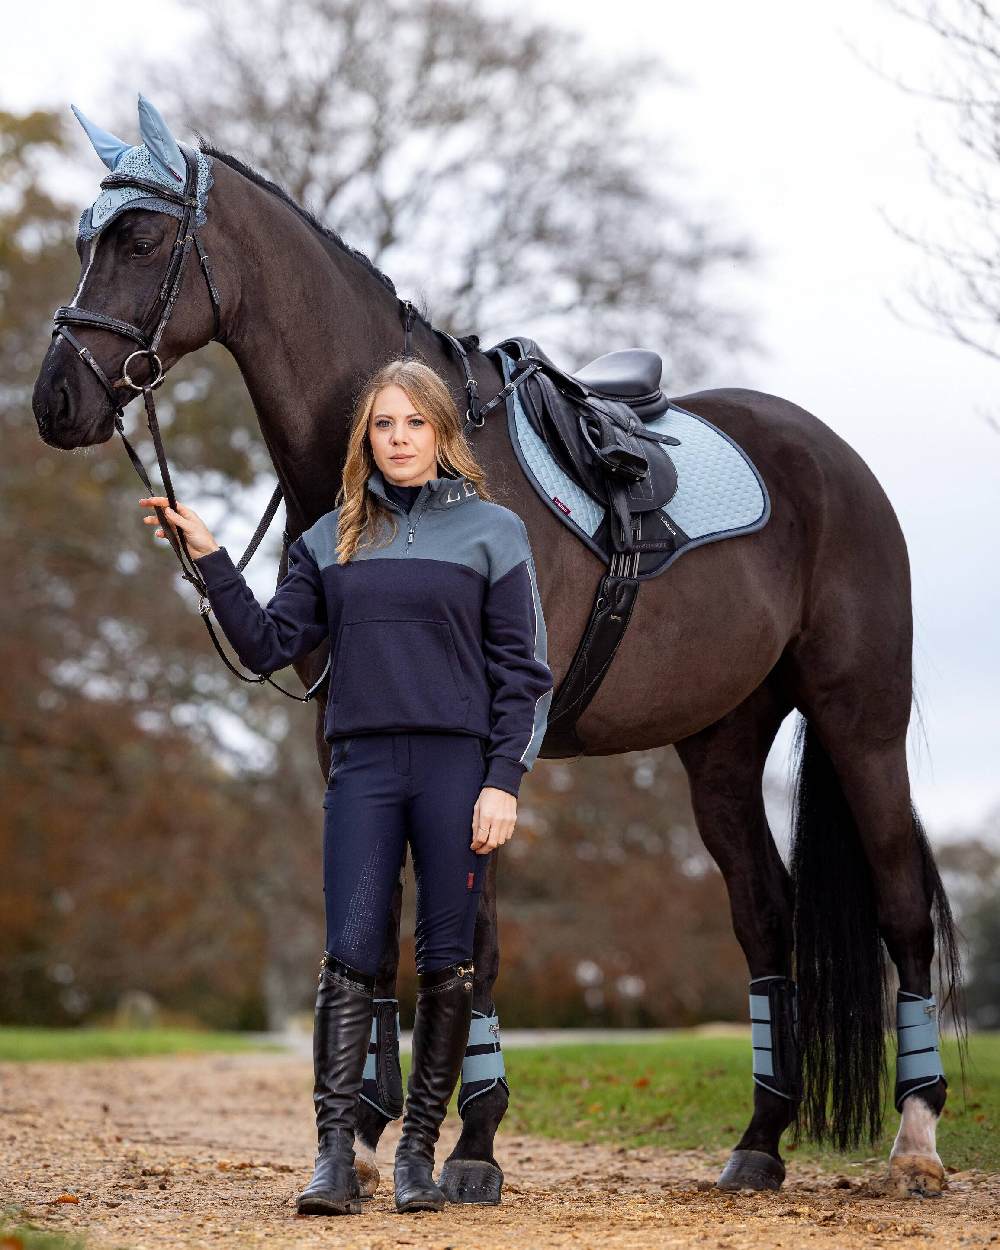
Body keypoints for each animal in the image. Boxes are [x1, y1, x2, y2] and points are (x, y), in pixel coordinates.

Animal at [33, 115, 960, 1200]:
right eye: (84, 238)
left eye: (139, 240)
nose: (55, 400)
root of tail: (834, 458)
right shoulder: (350, 738)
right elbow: (377, 923)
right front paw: (365, 1136)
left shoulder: (483, 749)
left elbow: (470, 936)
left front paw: (469, 1144)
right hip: (723, 747)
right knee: (765, 916)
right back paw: (761, 1138)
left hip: (861, 720)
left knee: (900, 906)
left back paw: (916, 1140)